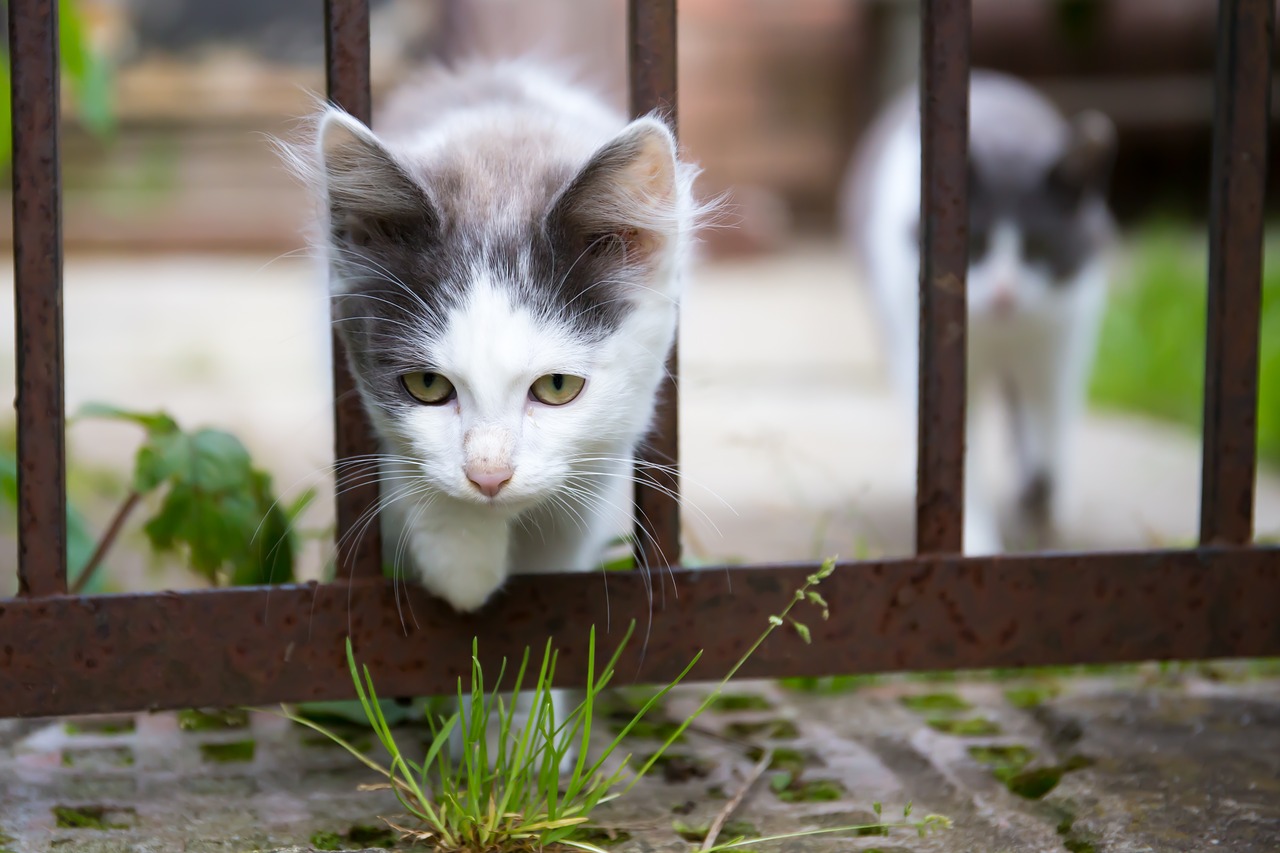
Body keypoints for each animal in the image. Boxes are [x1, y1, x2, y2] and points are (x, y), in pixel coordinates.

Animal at [839, 71, 1111, 550]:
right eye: (976, 243)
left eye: (1038, 246)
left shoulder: (1065, 338)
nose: (1004, 295)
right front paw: (976, 540)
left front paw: (1045, 497)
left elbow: (1050, 423)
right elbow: (964, 460)